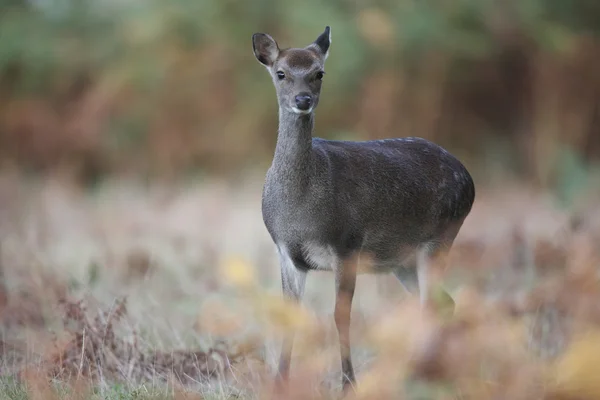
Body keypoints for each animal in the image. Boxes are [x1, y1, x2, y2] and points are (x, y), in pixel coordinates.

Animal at [251, 25, 476, 394]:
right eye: (281, 73)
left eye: (319, 73)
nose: (303, 100)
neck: (300, 212)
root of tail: (469, 179)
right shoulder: (285, 252)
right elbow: (290, 315)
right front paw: (280, 383)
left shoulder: (347, 242)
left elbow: (341, 316)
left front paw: (348, 385)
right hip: (402, 260)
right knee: (442, 302)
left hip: (442, 236)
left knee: (433, 303)